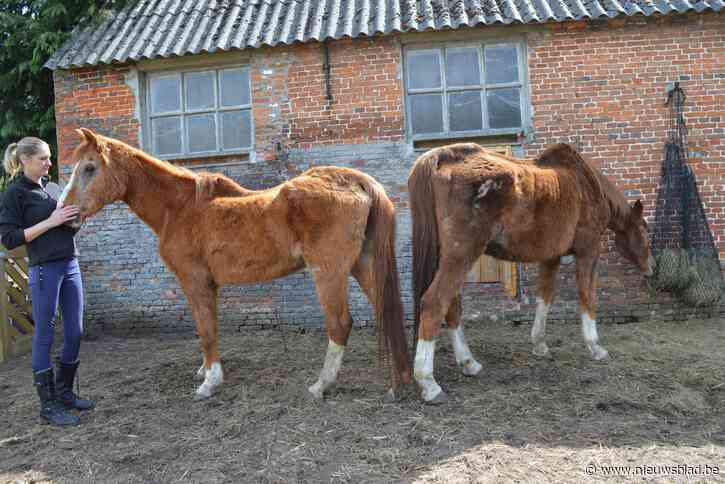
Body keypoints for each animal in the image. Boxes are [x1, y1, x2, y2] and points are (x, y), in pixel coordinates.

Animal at [59, 128, 412, 400]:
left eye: (89, 168)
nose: (66, 212)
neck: (180, 208)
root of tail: (358, 182)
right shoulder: (207, 285)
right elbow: (207, 327)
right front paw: (205, 370)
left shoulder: (196, 281)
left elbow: (206, 330)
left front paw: (210, 383)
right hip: (362, 265)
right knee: (386, 309)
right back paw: (400, 381)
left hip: (329, 272)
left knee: (339, 324)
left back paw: (321, 385)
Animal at [408, 142, 655, 403]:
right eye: (644, 229)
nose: (652, 267)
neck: (587, 184)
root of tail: (441, 157)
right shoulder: (589, 251)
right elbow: (587, 297)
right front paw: (595, 347)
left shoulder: (551, 257)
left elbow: (544, 297)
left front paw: (539, 344)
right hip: (462, 254)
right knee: (435, 302)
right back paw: (429, 383)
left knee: (452, 305)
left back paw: (468, 363)